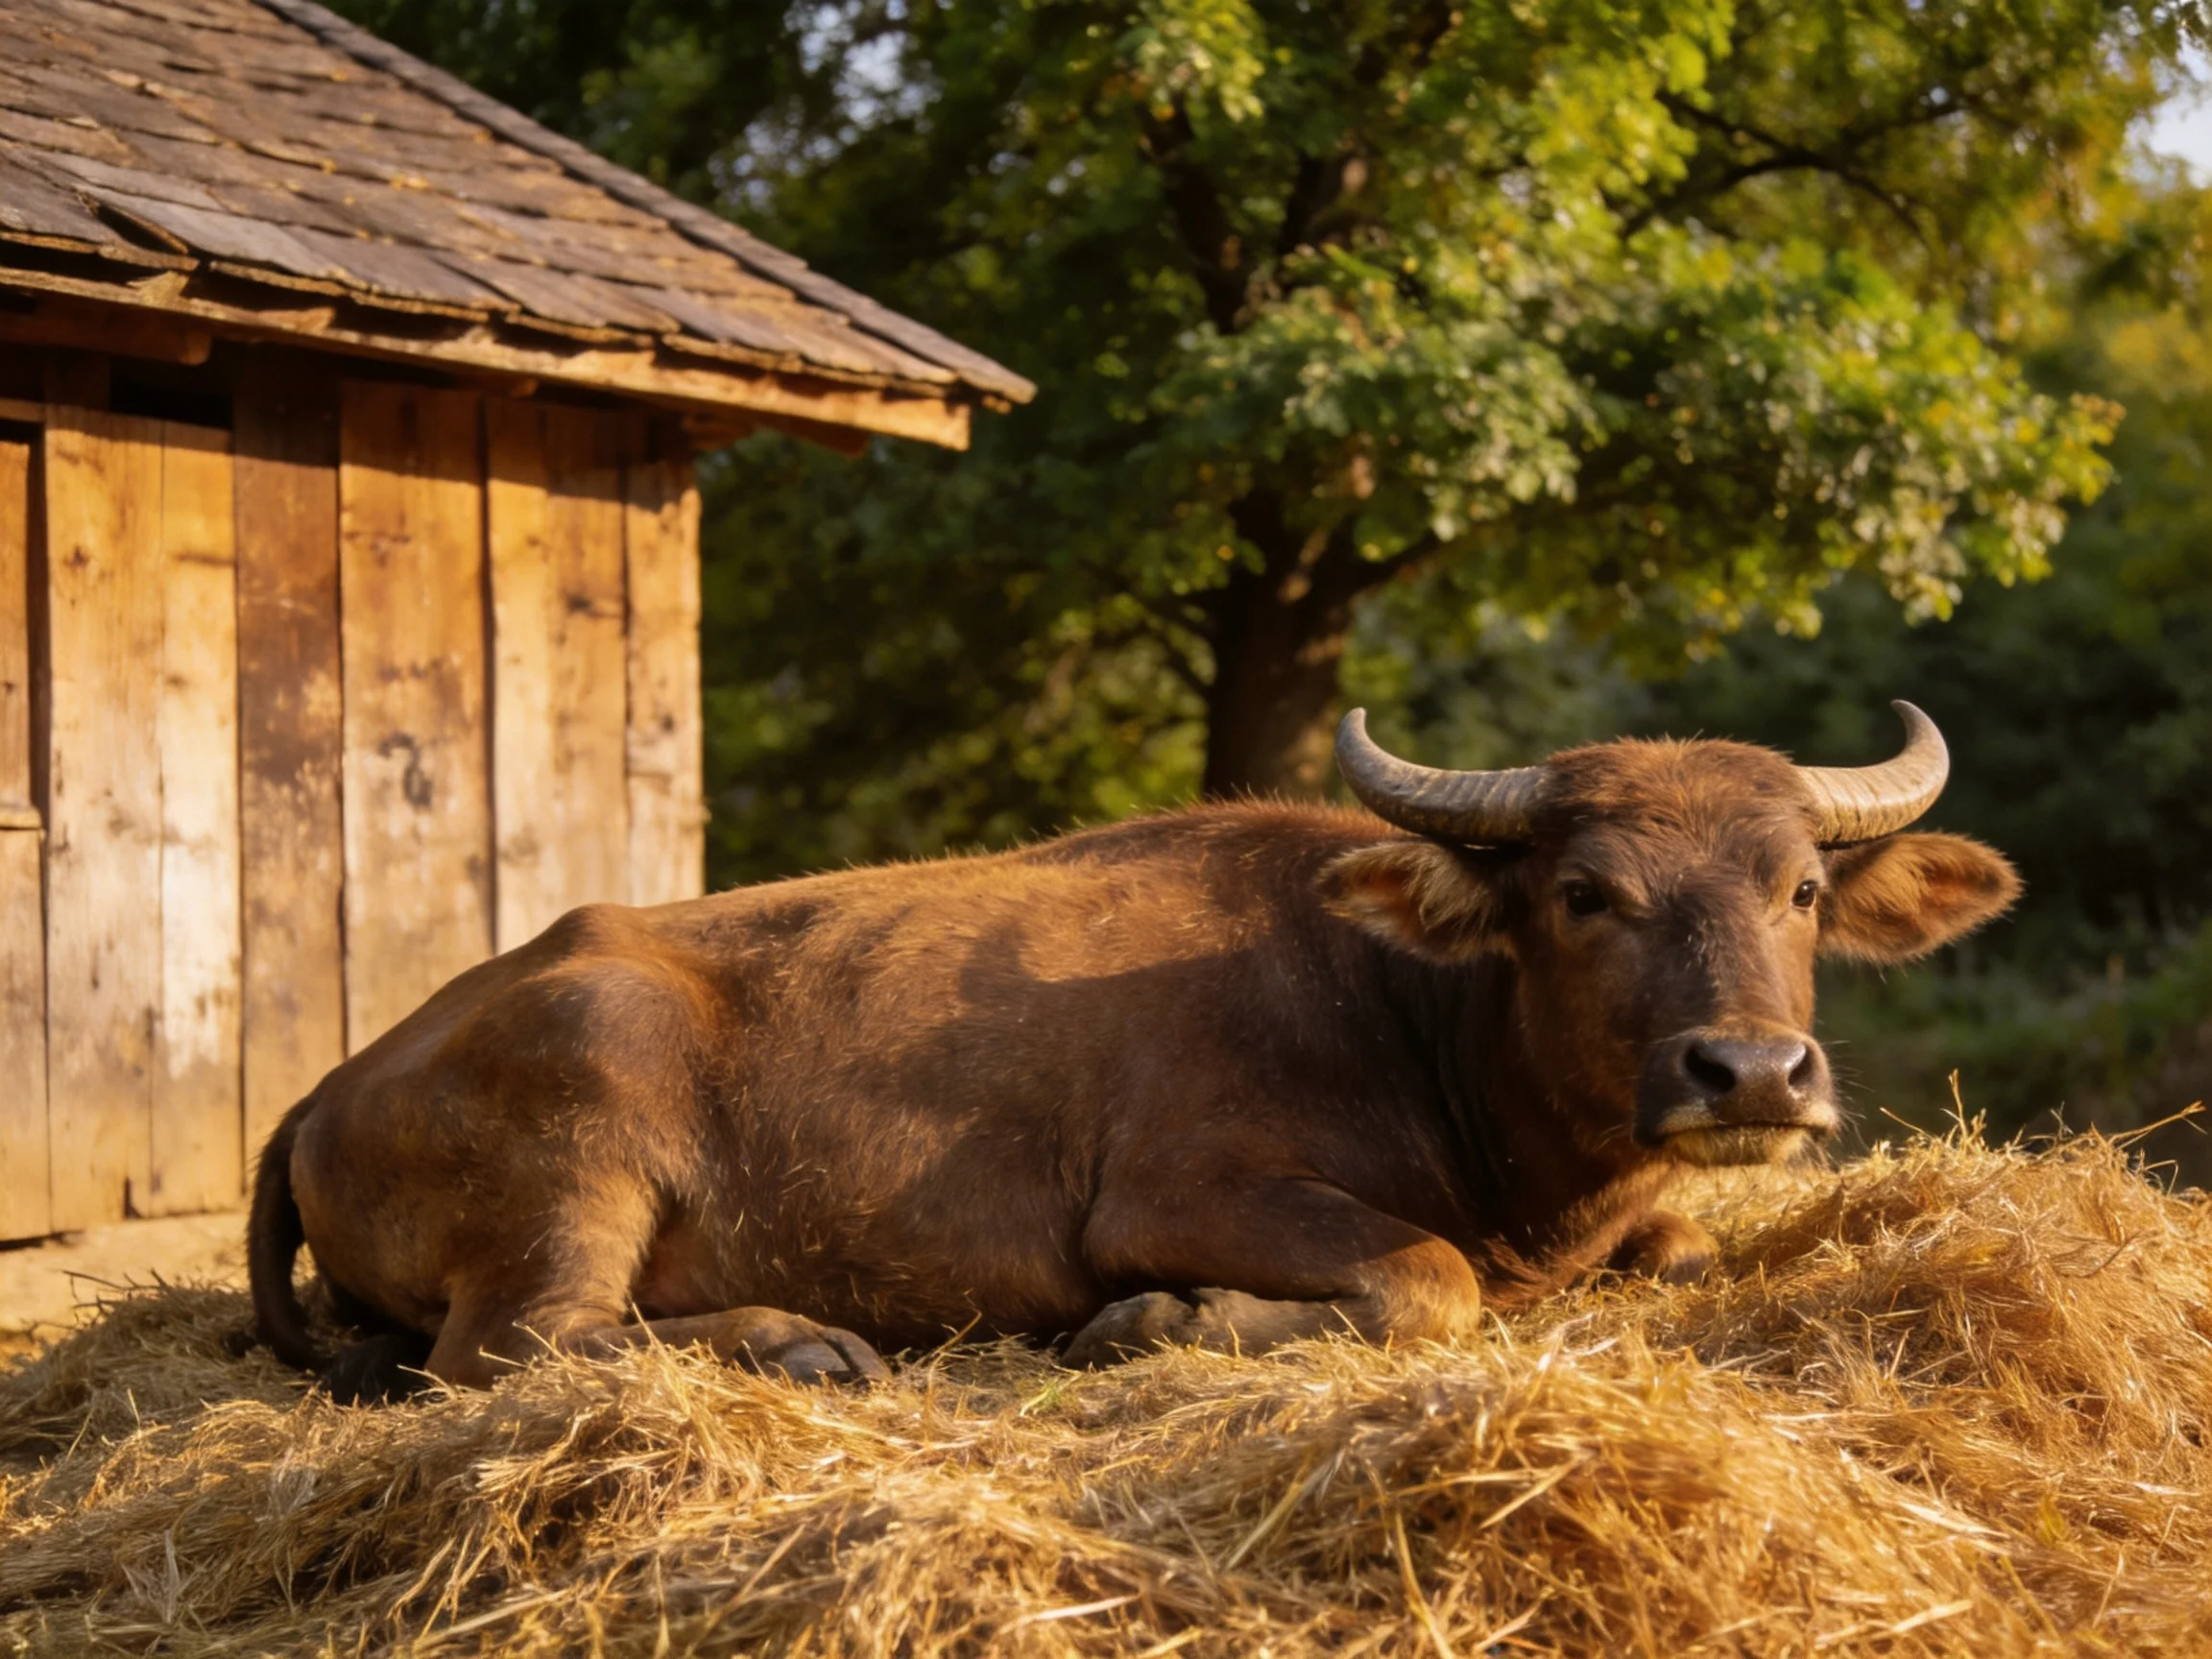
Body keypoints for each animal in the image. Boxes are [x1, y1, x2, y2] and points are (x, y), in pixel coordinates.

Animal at [250, 702, 2019, 1400]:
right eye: (1583, 891)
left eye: (1799, 887)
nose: (1751, 1074)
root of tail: (328, 1084)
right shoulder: (1177, 1189)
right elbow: (1425, 1274)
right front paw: (1156, 1325)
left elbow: (1680, 1253)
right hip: (585, 1127)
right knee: (516, 1345)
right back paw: (804, 1344)